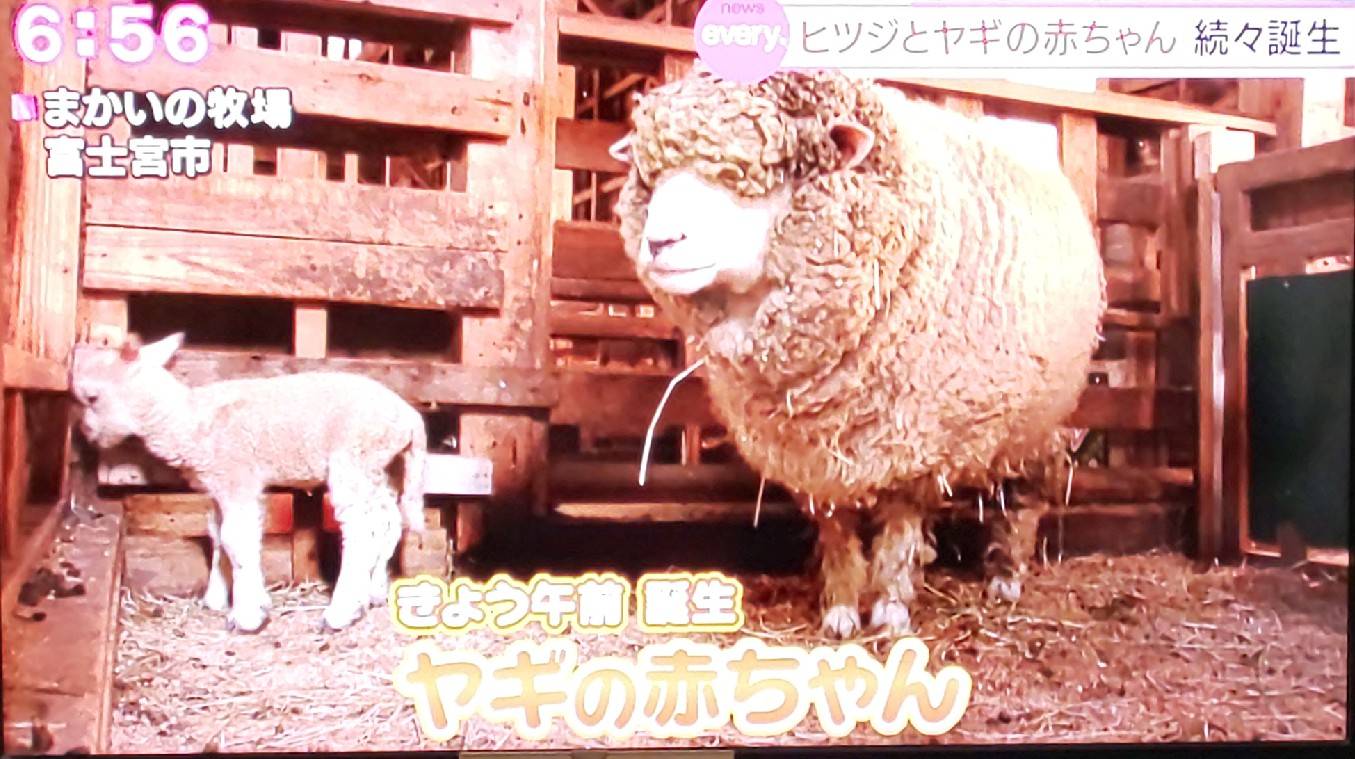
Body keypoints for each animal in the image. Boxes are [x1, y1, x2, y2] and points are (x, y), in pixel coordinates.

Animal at [70, 333, 427, 633]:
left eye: (92, 397)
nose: (86, 434)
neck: (190, 421)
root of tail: (409, 417)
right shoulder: (220, 486)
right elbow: (218, 534)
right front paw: (221, 597)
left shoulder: (237, 477)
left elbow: (236, 540)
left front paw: (247, 616)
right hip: (381, 466)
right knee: (388, 521)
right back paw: (373, 591)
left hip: (352, 458)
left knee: (361, 530)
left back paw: (340, 612)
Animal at [608, 66, 1106, 638]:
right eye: (653, 178)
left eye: (754, 180)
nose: (660, 242)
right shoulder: (815, 451)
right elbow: (838, 528)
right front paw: (842, 608)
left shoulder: (915, 438)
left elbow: (901, 526)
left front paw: (890, 608)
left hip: (1038, 418)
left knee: (1022, 498)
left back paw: (1006, 574)